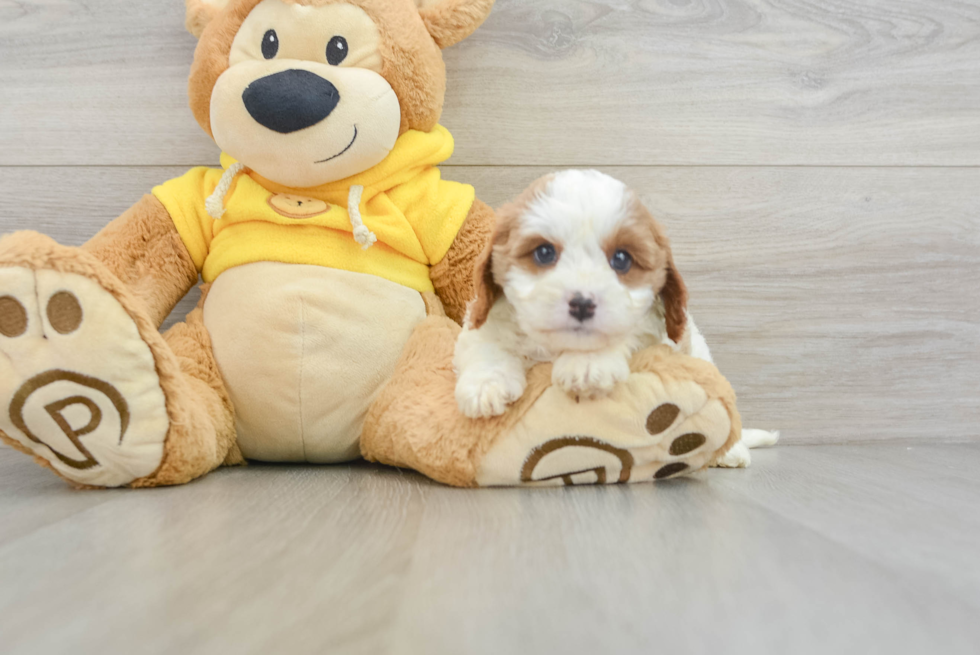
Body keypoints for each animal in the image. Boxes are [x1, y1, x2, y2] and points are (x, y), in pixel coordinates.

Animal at [454, 167, 688, 418]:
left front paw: (587, 363)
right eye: (544, 253)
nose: (582, 304)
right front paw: (486, 383)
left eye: (621, 259)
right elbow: (485, 338)